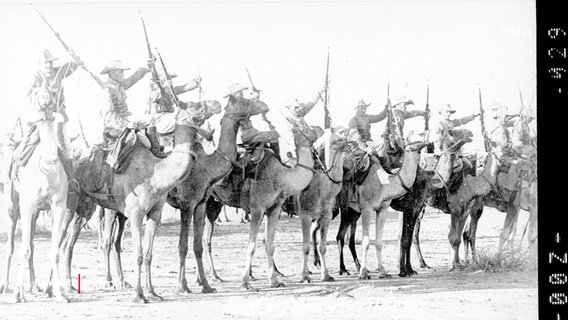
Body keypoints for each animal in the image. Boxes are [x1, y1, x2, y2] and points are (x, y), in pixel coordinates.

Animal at [0, 87, 70, 302]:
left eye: (54, 93)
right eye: (38, 94)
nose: (46, 99)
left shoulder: (59, 205)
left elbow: (54, 251)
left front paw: (60, 293)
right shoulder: (27, 204)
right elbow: (23, 249)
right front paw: (18, 294)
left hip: (36, 211)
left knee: (31, 242)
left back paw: (34, 286)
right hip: (13, 205)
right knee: (11, 245)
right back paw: (6, 286)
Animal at [165, 97, 270, 292]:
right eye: (244, 100)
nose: (263, 105)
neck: (206, 167)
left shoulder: (200, 204)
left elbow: (197, 245)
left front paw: (206, 285)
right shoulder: (187, 204)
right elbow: (182, 245)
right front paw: (183, 286)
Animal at [207, 121, 324, 288]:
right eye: (304, 127)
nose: (320, 129)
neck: (280, 177)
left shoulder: (273, 210)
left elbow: (269, 244)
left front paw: (274, 281)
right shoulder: (257, 209)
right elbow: (251, 246)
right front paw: (245, 282)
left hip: (211, 204)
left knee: (205, 239)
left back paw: (212, 277)